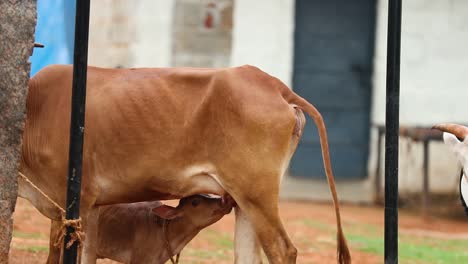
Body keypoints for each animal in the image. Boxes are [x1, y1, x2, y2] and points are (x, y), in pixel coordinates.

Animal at [19, 64, 352, 264]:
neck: (35, 111)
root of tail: (274, 85)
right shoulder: (91, 208)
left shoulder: (72, 201)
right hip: (246, 201)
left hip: (258, 194)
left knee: (283, 250)